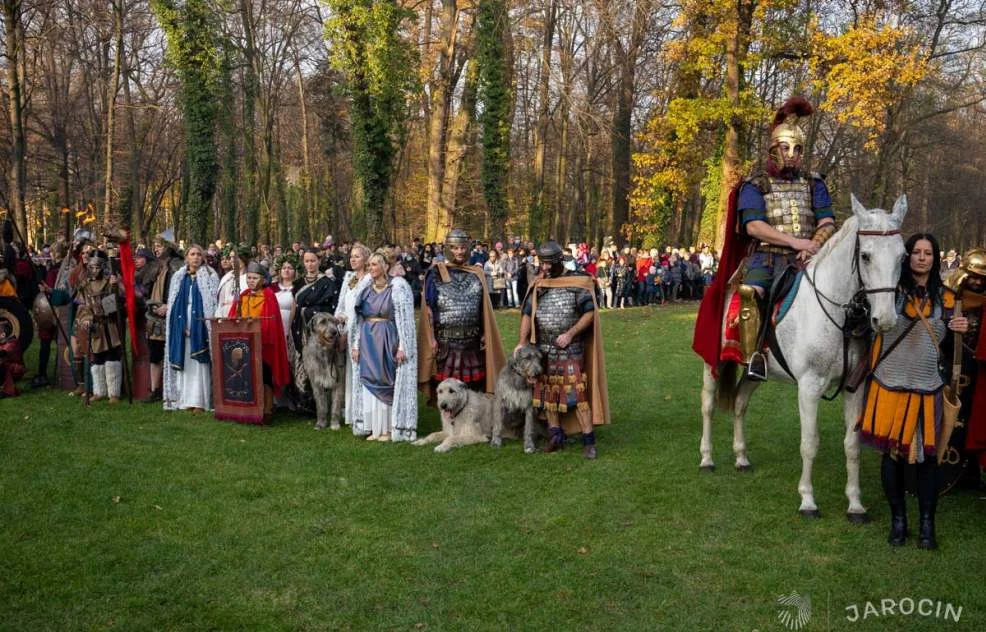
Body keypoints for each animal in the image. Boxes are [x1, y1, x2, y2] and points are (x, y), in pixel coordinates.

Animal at [696, 195, 904, 520]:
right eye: (866, 256)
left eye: (902, 257)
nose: (885, 320)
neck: (840, 314)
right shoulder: (809, 386)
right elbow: (809, 443)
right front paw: (807, 500)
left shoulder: (854, 387)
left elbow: (852, 445)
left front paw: (855, 504)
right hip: (713, 362)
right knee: (708, 405)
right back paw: (706, 458)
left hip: (756, 371)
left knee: (740, 403)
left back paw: (741, 457)